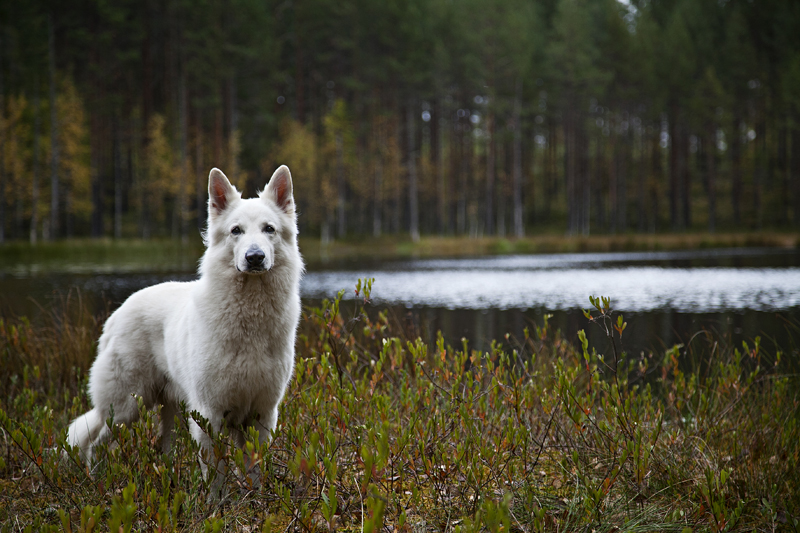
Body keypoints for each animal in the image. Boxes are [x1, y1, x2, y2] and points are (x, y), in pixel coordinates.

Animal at [65, 166, 302, 478]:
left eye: (269, 229)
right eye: (236, 231)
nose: (254, 257)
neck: (250, 317)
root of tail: (116, 315)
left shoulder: (262, 414)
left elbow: (254, 472)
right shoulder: (209, 414)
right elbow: (215, 475)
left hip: (168, 411)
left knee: (162, 449)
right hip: (126, 408)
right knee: (95, 444)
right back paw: (96, 480)